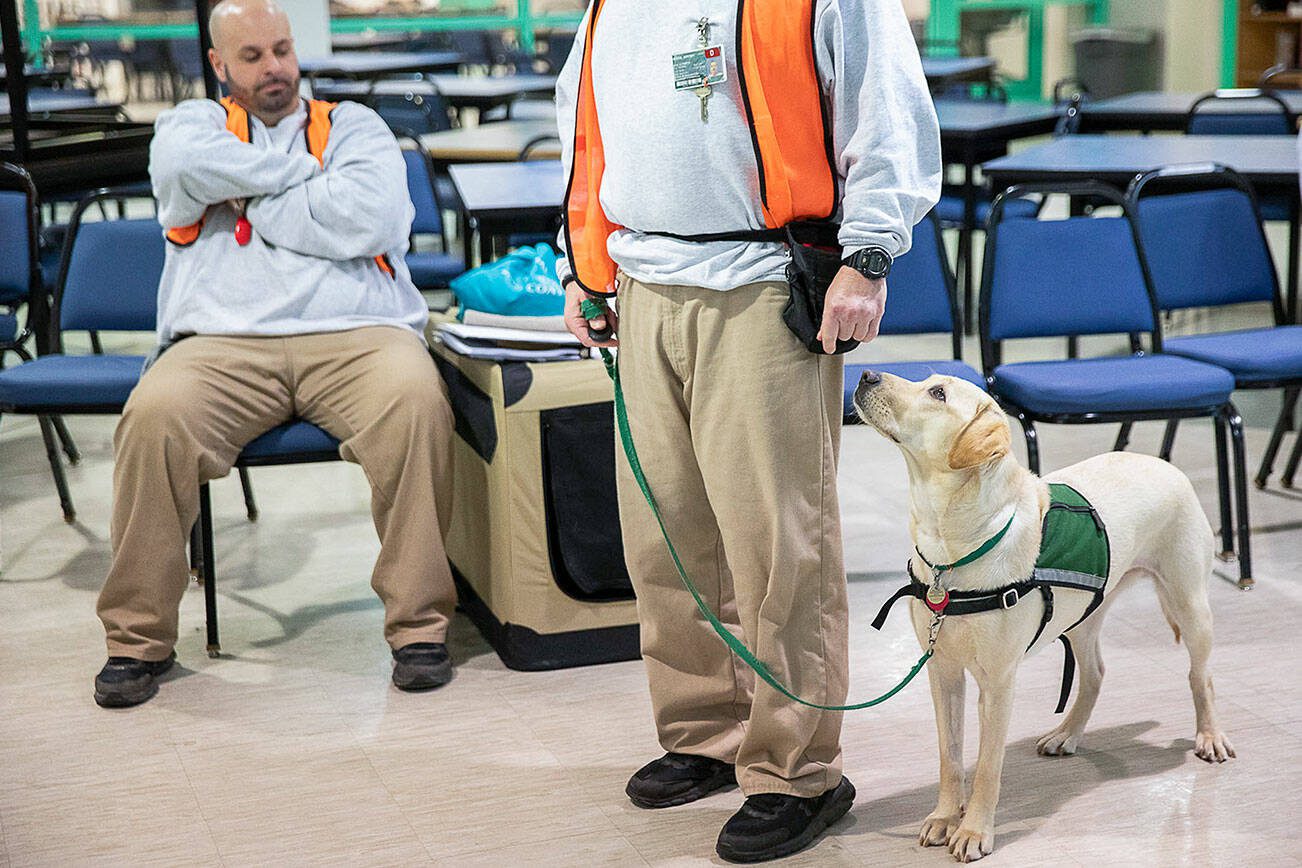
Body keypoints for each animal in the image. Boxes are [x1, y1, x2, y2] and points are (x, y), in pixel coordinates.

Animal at [854, 372, 1229, 864]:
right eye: (928, 381)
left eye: (938, 393)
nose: (865, 374)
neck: (950, 544)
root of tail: (1166, 463)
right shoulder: (944, 673)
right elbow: (949, 757)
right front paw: (944, 816)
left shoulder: (997, 685)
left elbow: (987, 766)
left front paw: (974, 830)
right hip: (1083, 617)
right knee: (1095, 674)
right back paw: (1065, 733)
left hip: (1190, 604)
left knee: (1201, 676)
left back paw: (1209, 736)